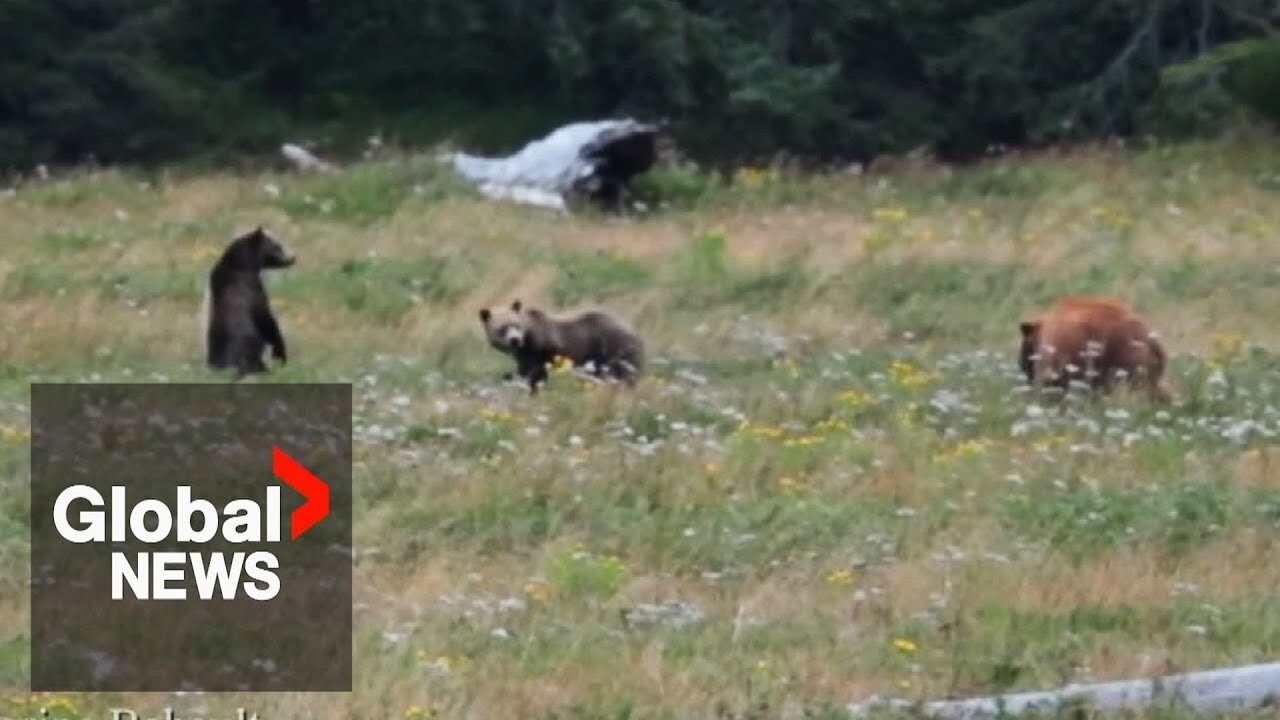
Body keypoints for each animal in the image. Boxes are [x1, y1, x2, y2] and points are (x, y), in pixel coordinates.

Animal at [202, 226, 294, 379]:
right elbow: (267, 320)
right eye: (277, 246)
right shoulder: (253, 288)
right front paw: (280, 355)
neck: (239, 265)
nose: (293, 257)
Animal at [478, 299, 645, 394]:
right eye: (502, 328)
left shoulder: (543, 348)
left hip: (614, 349)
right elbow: (524, 371)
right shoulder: (524, 356)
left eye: (516, 324)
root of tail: (636, 333)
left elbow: (536, 374)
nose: (515, 340)